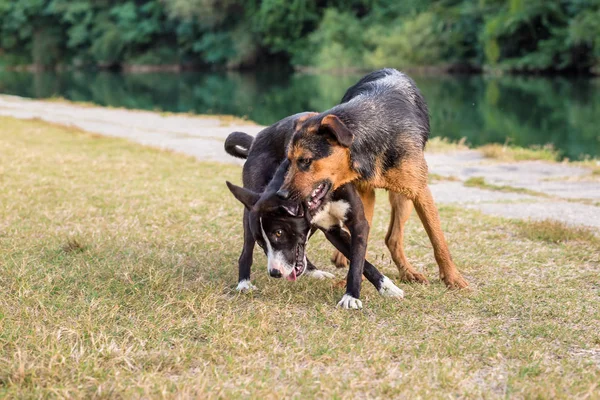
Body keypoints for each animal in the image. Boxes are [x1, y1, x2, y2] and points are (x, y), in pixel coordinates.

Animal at [278, 69, 472, 296]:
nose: (281, 195)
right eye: (289, 160)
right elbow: (358, 245)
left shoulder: (420, 192)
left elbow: (438, 240)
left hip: (403, 198)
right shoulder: (363, 193)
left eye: (306, 161)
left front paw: (452, 278)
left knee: (393, 238)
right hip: (367, 197)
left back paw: (408, 272)